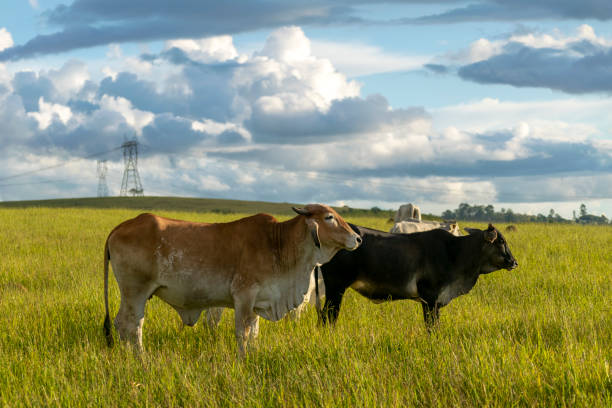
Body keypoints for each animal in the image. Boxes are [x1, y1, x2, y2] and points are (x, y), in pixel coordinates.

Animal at [103, 202, 360, 356]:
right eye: (329, 217)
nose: (357, 238)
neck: (277, 243)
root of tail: (120, 227)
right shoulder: (244, 296)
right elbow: (242, 333)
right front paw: (243, 359)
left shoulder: (258, 302)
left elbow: (254, 333)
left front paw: (253, 355)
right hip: (135, 293)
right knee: (130, 325)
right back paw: (140, 358)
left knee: (122, 324)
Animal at [320, 223, 516, 328]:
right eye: (501, 241)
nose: (514, 262)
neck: (455, 252)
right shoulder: (429, 298)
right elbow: (432, 327)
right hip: (336, 288)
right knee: (328, 316)